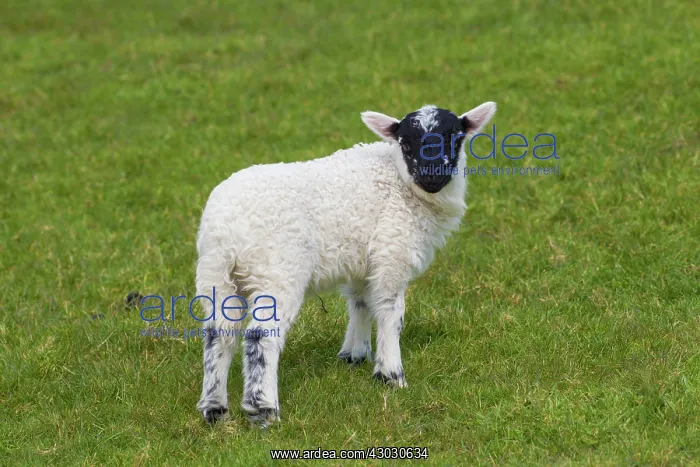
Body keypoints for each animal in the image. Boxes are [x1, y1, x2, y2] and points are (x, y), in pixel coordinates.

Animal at [195, 101, 497, 427]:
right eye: (405, 143)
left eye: (454, 137)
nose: (431, 177)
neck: (398, 180)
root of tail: (226, 230)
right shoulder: (391, 252)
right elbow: (391, 313)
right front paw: (391, 375)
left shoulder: (363, 260)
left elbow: (361, 303)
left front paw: (354, 355)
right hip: (278, 271)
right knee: (260, 336)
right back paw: (263, 409)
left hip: (216, 276)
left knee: (218, 335)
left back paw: (215, 409)